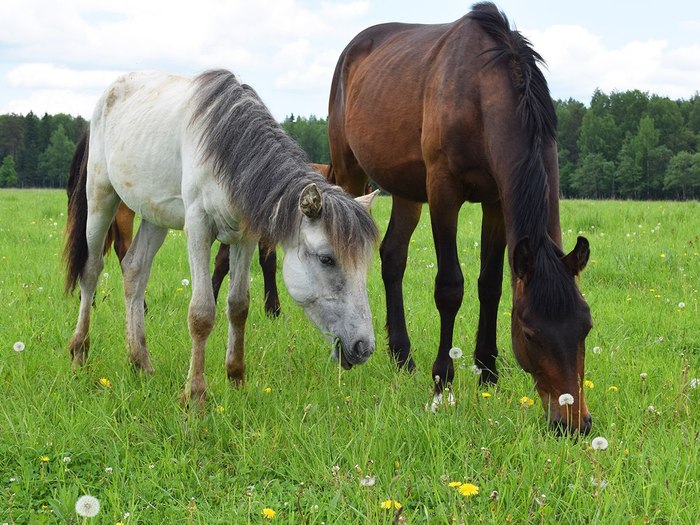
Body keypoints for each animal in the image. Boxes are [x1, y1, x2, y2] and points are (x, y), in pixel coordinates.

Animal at [65, 69, 380, 404]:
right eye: (326, 259)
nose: (363, 347)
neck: (228, 148)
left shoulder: (245, 237)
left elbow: (239, 306)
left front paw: (237, 380)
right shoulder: (199, 228)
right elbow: (201, 313)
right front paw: (195, 394)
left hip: (154, 215)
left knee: (135, 271)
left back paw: (140, 361)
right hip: (101, 197)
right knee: (91, 270)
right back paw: (79, 353)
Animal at [328, 2, 592, 432]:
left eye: (585, 326)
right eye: (530, 333)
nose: (573, 423)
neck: (480, 92)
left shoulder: (496, 202)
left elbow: (491, 284)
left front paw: (488, 371)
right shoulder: (443, 192)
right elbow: (450, 287)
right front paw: (442, 379)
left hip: (406, 192)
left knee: (393, 257)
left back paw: (402, 356)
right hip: (351, 172)